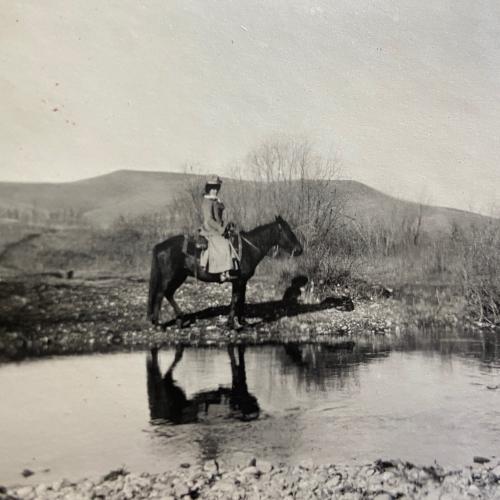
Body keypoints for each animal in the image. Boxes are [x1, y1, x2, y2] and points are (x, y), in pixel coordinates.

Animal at [146, 216, 302, 328]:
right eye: (288, 232)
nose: (299, 250)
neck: (247, 248)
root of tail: (160, 246)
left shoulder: (241, 282)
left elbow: (240, 299)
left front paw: (241, 321)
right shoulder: (239, 281)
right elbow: (236, 300)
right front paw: (232, 324)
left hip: (179, 276)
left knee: (168, 293)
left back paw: (181, 319)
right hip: (169, 276)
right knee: (160, 294)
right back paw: (158, 324)